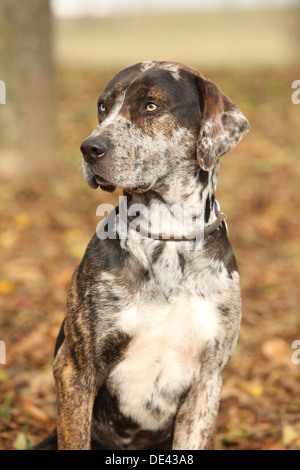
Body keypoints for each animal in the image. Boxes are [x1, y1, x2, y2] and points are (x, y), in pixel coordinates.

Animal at [36, 60, 250, 450]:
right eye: (103, 107)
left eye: (150, 106)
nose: (89, 148)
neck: (169, 236)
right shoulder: (76, 368)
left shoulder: (207, 380)